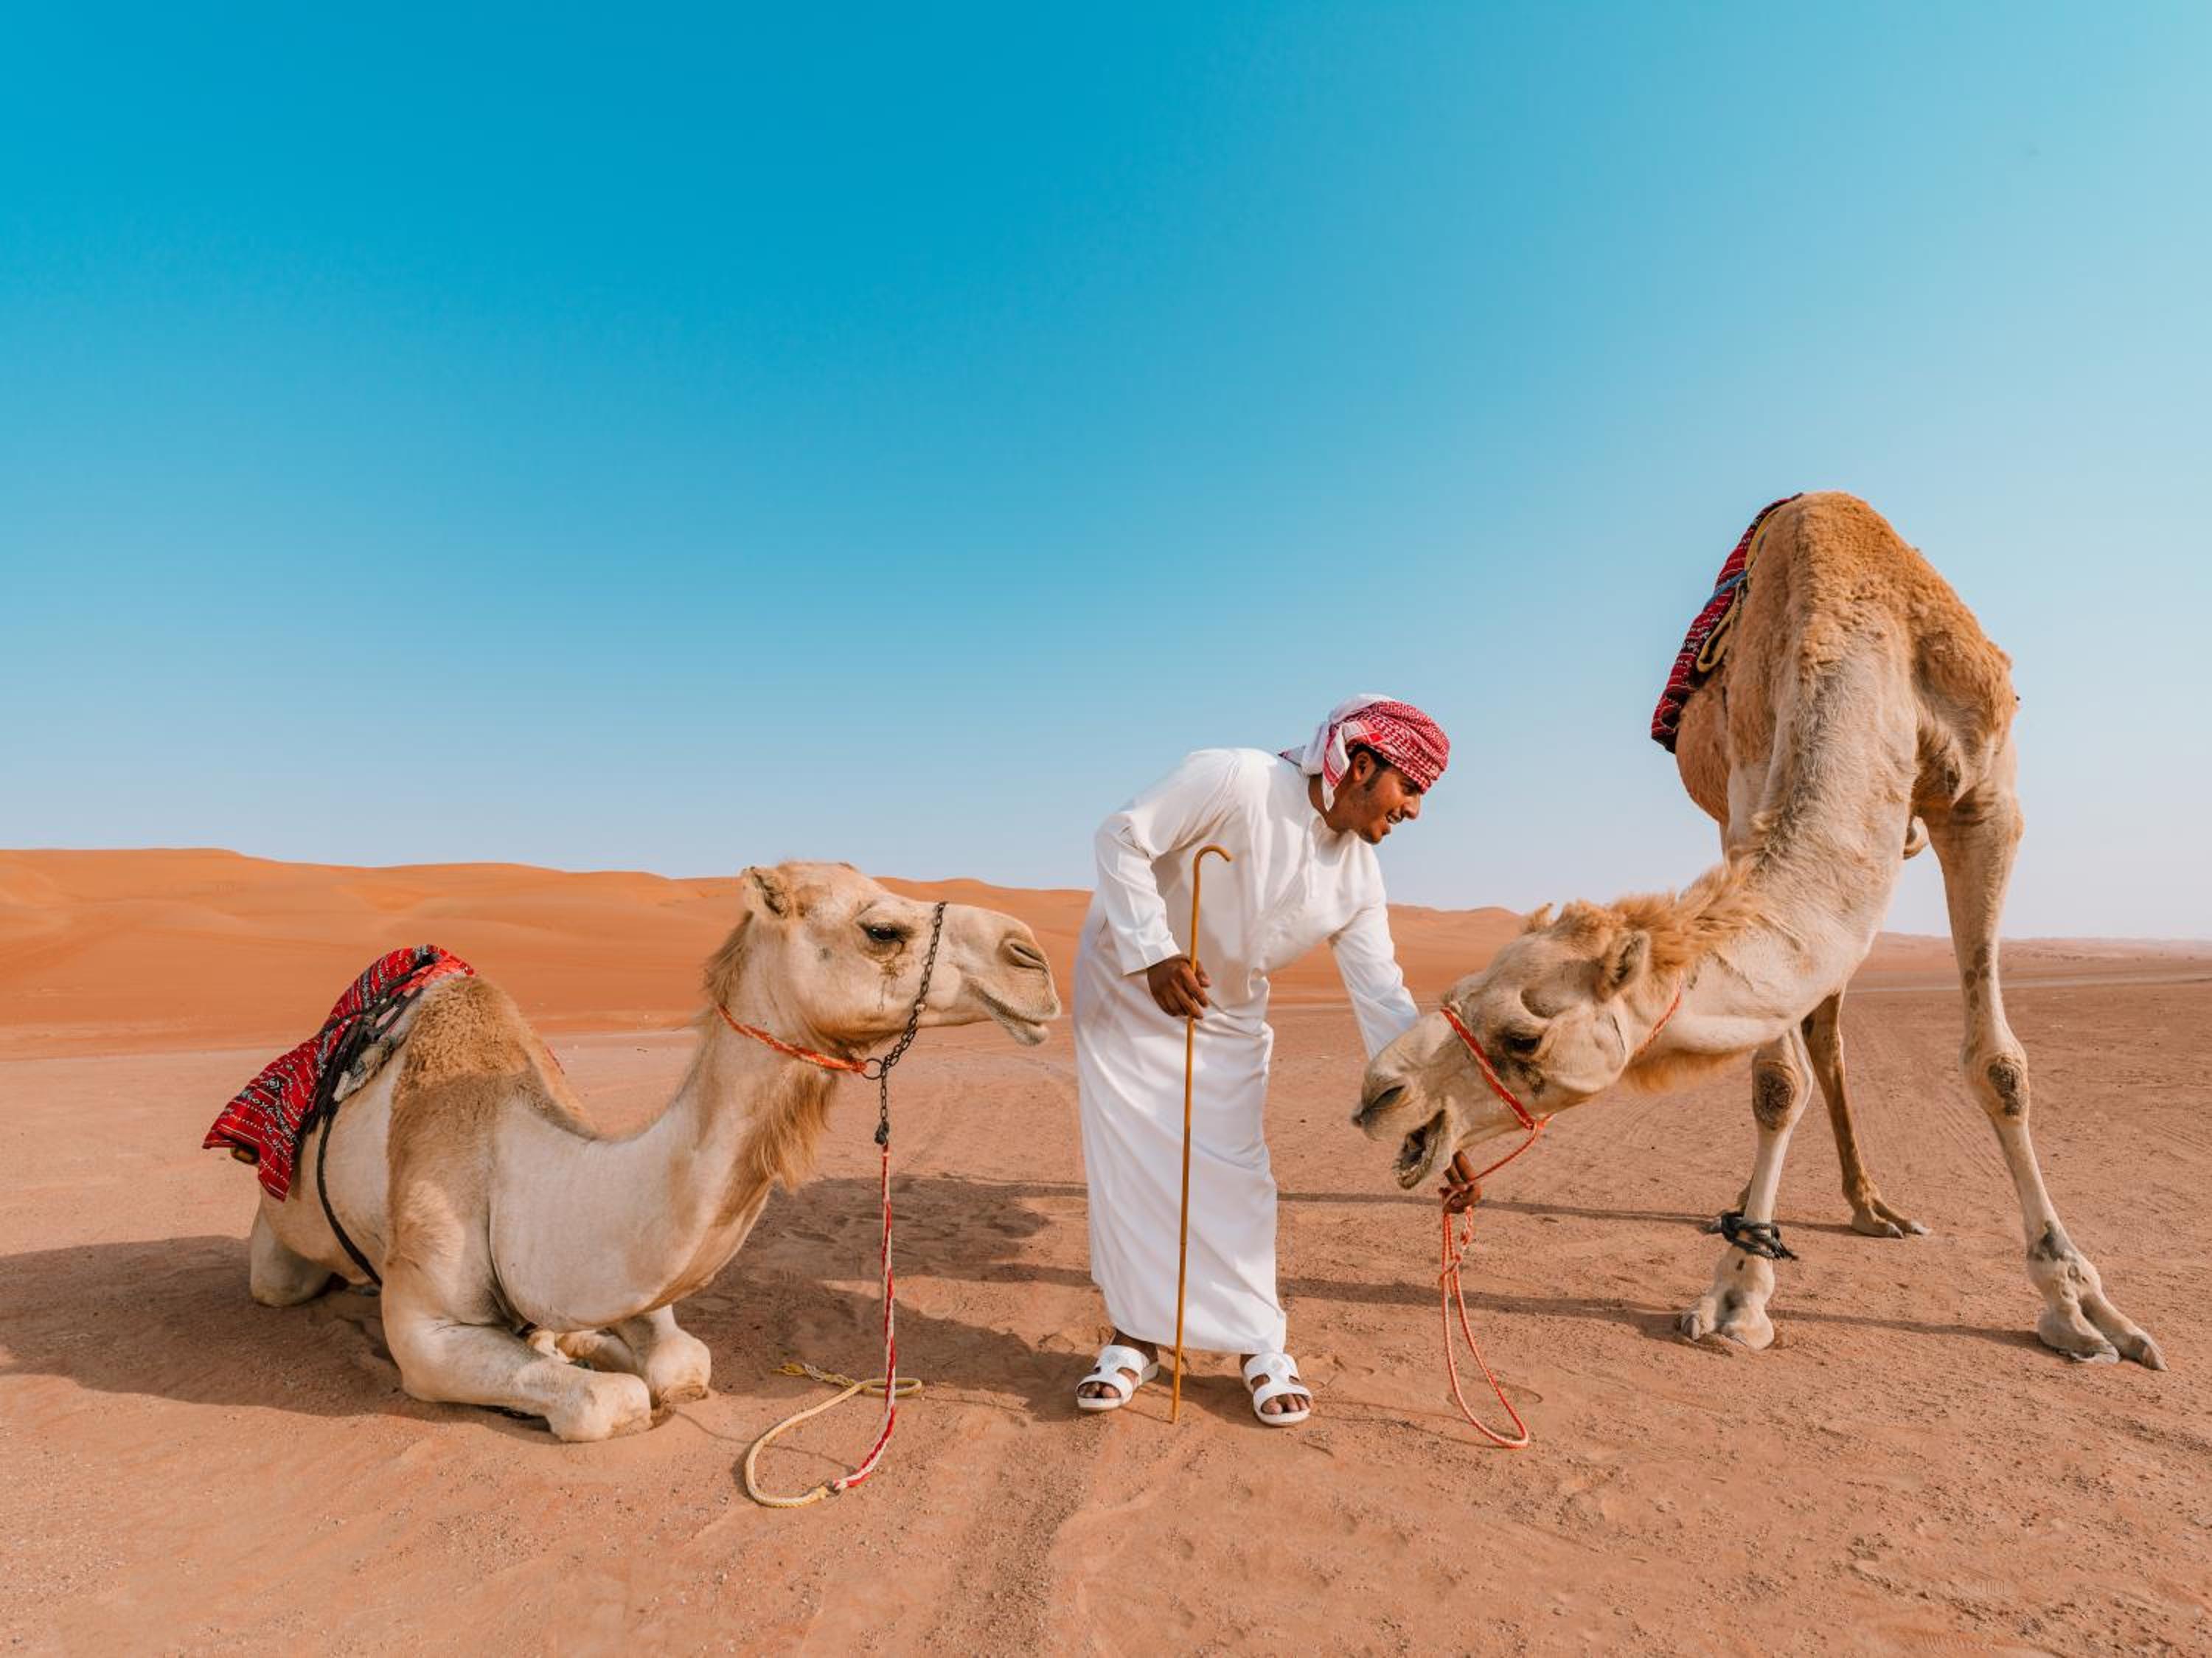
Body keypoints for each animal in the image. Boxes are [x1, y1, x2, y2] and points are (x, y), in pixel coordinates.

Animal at [244, 862, 1062, 1440]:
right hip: (278, 1254)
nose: (1033, 957)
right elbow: (610, 1402)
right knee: (281, 1281)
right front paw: (573, 1367)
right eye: (883, 930)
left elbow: (680, 1364)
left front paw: (580, 1344)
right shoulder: (426, 1325)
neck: (517, 1166)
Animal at [1355, 491, 2163, 1368]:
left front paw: (2082, 1306)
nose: (1382, 1093)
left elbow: (2000, 1066)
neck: (1872, 624)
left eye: (1523, 1036)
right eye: (1458, 988)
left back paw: (1872, 1208)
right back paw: (1778, 1205)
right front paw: (1740, 1290)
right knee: (1813, 1028)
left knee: (1827, 1025)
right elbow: (1777, 1081)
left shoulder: (1989, 804)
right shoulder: (1750, 791)